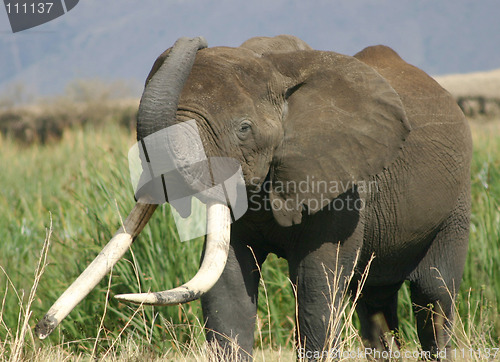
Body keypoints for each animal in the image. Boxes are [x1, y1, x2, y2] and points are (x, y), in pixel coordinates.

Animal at [36, 34, 472, 360]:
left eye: (243, 129)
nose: (40, 328)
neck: (280, 67)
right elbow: (227, 284)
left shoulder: (342, 187)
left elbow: (316, 285)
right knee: (374, 300)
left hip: (457, 198)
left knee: (434, 293)